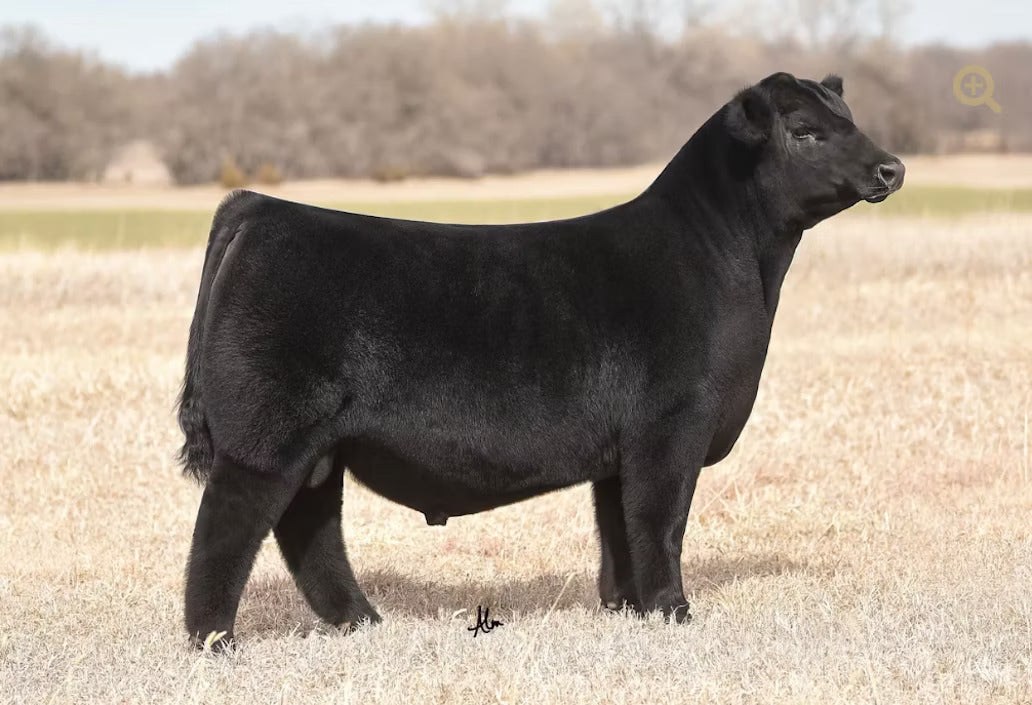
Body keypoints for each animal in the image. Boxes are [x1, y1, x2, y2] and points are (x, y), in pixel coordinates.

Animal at [177, 71, 904, 649]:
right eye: (806, 131)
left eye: (850, 118)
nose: (892, 168)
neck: (736, 263)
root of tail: (261, 207)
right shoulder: (672, 428)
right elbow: (660, 521)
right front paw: (673, 611)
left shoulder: (622, 446)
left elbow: (618, 527)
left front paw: (627, 607)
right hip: (268, 436)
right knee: (228, 526)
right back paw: (216, 640)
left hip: (323, 448)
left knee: (310, 531)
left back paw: (364, 621)